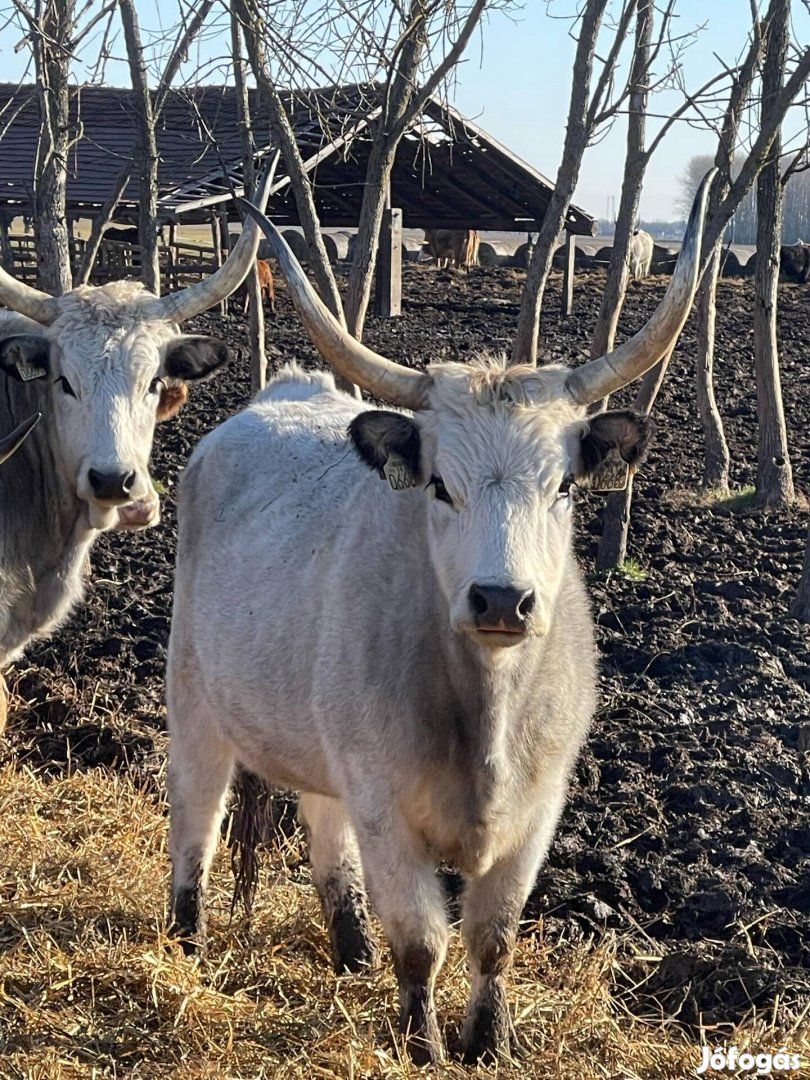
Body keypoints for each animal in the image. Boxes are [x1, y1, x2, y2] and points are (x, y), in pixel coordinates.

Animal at [166, 172, 717, 1058]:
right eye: (438, 486)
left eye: (564, 486)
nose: (501, 599)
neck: (487, 709)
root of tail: (284, 390)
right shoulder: (389, 811)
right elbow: (423, 941)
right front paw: (421, 1044)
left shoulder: (536, 813)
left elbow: (493, 939)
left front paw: (486, 1042)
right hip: (194, 699)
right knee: (196, 817)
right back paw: (187, 939)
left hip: (320, 740)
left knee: (325, 831)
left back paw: (350, 951)